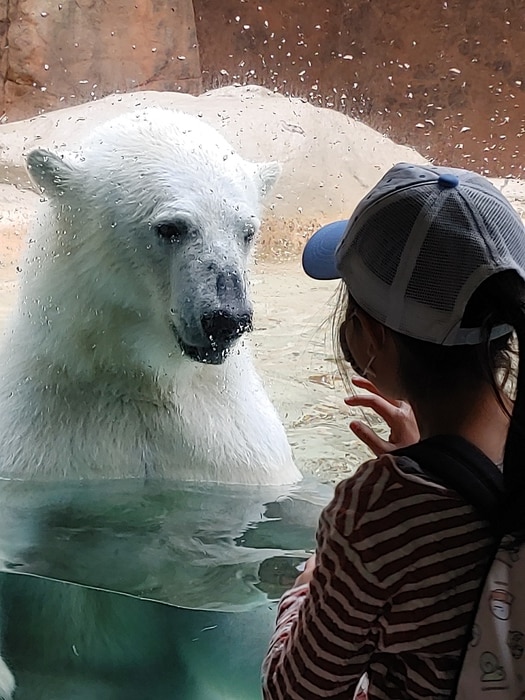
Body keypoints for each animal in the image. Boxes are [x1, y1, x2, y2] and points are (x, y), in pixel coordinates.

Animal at [0, 108, 298, 700]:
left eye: (247, 230)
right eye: (172, 228)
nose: (226, 317)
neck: (137, 382)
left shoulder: (227, 453)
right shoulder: (35, 448)